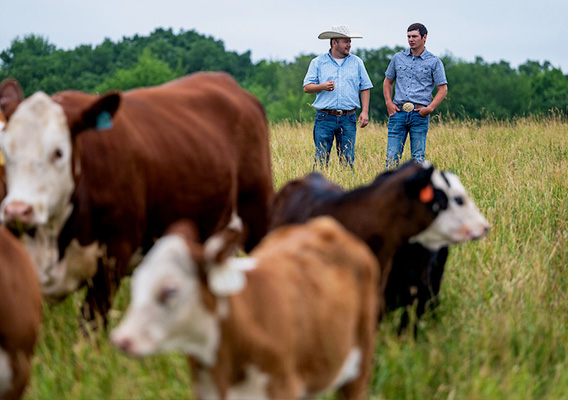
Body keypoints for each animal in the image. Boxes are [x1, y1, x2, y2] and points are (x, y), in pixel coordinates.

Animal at [0, 72, 272, 328]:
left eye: (58, 152)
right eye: (6, 151)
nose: (17, 211)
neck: (52, 239)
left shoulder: (113, 257)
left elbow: (90, 326)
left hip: (257, 216)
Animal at [111, 216, 382, 400]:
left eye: (170, 291)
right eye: (136, 283)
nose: (120, 339)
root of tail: (324, 225)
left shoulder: (281, 387)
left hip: (359, 364)